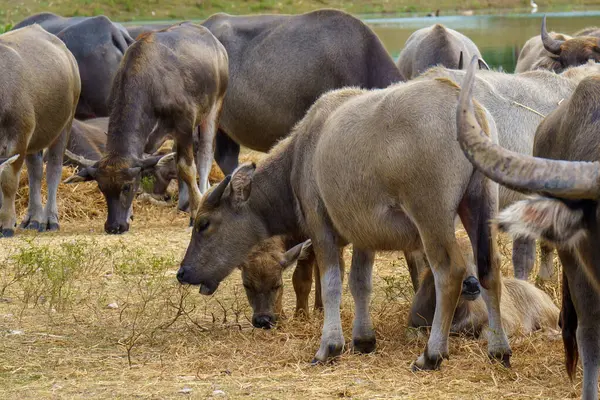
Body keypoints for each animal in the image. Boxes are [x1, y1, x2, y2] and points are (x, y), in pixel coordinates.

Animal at [0, 25, 79, 236]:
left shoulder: (19, 137)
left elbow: (8, 182)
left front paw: (6, 224)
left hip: (64, 126)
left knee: (53, 170)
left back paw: (50, 220)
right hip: (36, 138)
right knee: (35, 172)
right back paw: (33, 219)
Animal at [65, 21, 229, 233]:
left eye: (126, 187)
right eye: (102, 188)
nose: (114, 226)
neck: (150, 84)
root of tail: (216, 44)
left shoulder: (184, 125)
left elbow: (186, 168)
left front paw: (195, 213)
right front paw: (130, 213)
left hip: (213, 108)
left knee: (205, 156)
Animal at [176, 76, 508, 368]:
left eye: (204, 223)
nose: (183, 272)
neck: (302, 155)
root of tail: (463, 104)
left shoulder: (320, 229)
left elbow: (332, 283)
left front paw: (329, 346)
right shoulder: (364, 236)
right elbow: (360, 283)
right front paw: (363, 340)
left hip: (432, 217)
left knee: (449, 272)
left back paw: (432, 355)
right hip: (481, 204)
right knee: (489, 268)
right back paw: (499, 349)